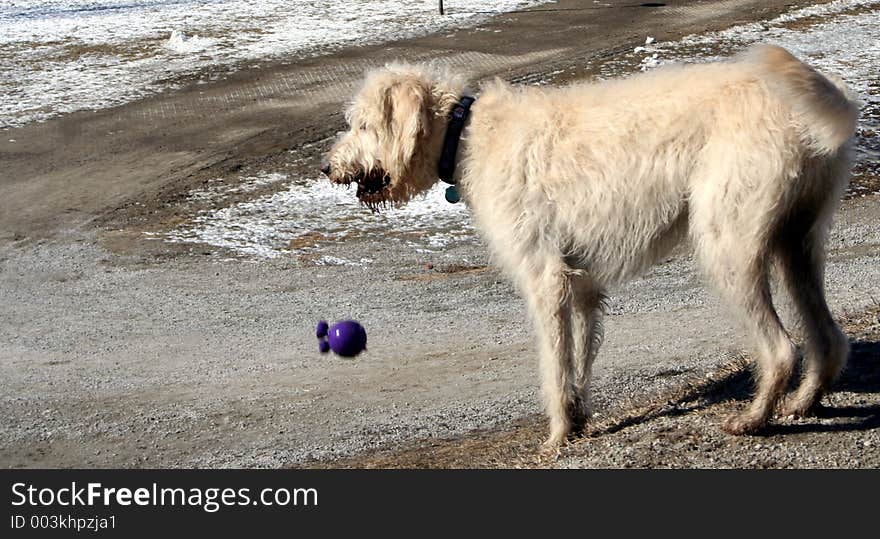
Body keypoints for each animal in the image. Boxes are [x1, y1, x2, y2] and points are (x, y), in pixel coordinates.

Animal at [324, 45, 860, 448]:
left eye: (363, 125)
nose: (329, 168)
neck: (466, 134)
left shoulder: (544, 280)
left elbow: (553, 366)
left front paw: (557, 436)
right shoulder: (579, 285)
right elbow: (578, 358)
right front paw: (578, 420)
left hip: (728, 248)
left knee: (781, 350)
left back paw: (753, 420)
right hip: (796, 245)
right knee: (828, 339)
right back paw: (803, 403)